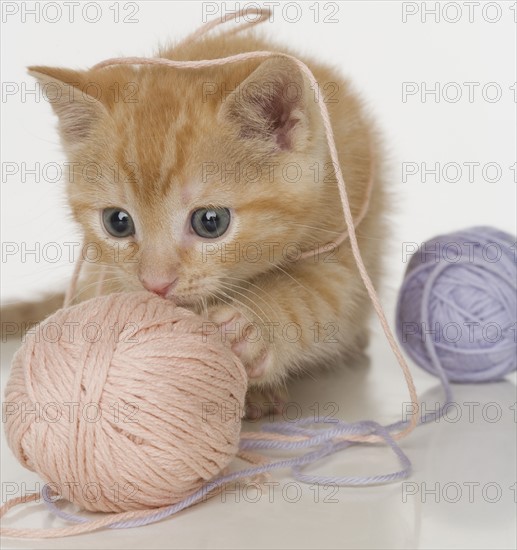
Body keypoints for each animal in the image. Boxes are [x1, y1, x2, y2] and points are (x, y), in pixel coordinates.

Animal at [3, 30, 388, 416]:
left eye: (210, 222)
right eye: (117, 222)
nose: (155, 284)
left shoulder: (346, 231)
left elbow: (317, 294)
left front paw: (252, 324)